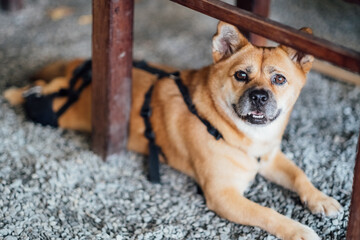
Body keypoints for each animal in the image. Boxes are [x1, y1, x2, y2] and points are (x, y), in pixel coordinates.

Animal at [3, 21, 340, 239]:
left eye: (279, 79)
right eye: (241, 75)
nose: (259, 96)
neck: (244, 137)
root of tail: (83, 69)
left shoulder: (270, 159)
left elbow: (299, 175)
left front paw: (320, 199)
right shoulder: (223, 195)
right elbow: (268, 213)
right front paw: (299, 230)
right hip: (63, 111)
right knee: (44, 90)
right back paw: (15, 93)